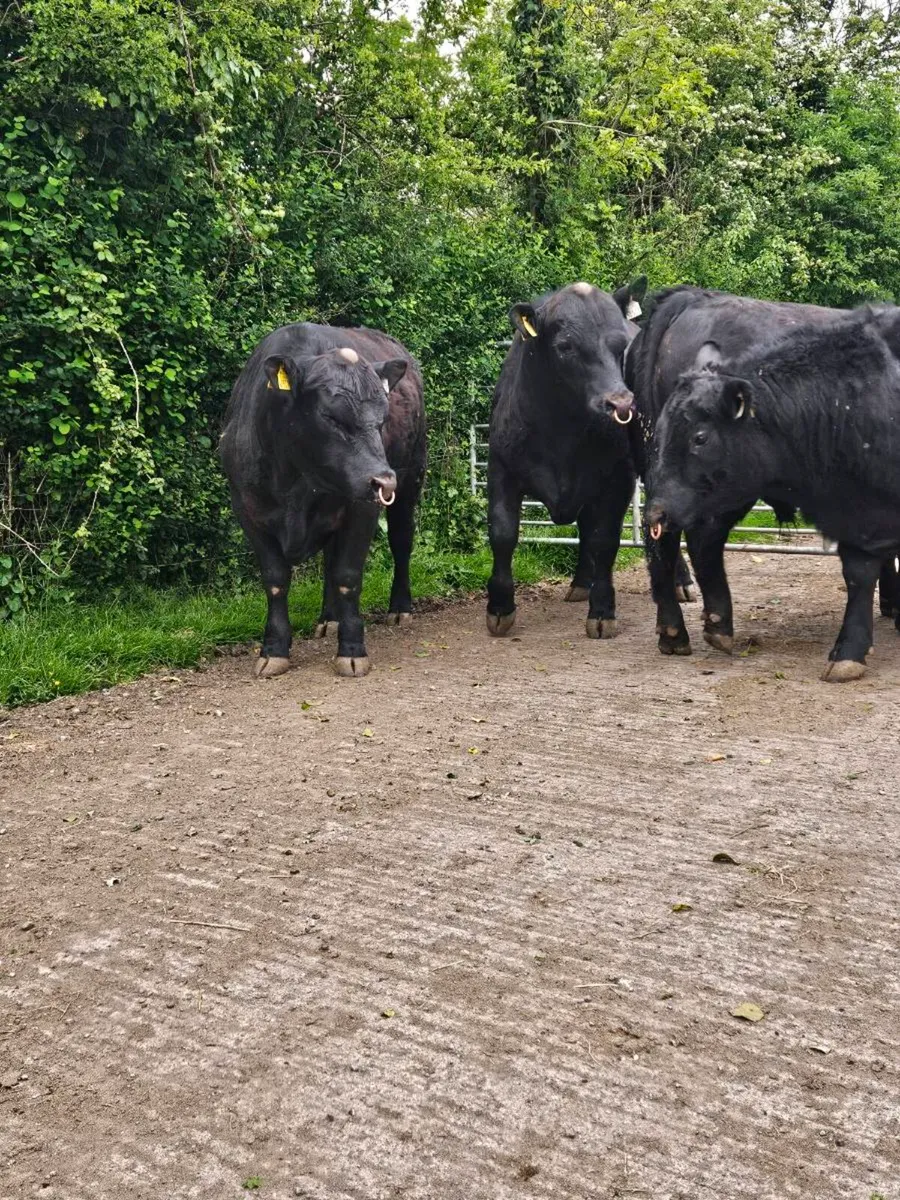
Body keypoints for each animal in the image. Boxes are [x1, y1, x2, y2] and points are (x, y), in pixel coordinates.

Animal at [219, 323, 426, 679]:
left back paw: (399, 608)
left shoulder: (362, 507)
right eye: (331, 416)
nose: (384, 480)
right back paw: (329, 619)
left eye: (383, 418)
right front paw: (273, 649)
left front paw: (352, 650)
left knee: (401, 543)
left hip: (411, 480)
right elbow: (276, 580)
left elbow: (347, 575)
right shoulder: (248, 510)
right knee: (329, 558)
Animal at [485, 278, 684, 640]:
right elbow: (504, 533)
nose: (621, 404)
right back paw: (580, 583)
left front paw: (602, 610)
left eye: (621, 345)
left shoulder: (617, 479)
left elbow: (603, 539)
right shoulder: (501, 470)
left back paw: (680, 582)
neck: (561, 433)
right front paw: (499, 607)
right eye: (565, 346)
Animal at [645, 305, 900, 680]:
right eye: (662, 431)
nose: (656, 512)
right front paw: (850, 650)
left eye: (699, 437)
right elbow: (859, 574)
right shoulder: (859, 513)